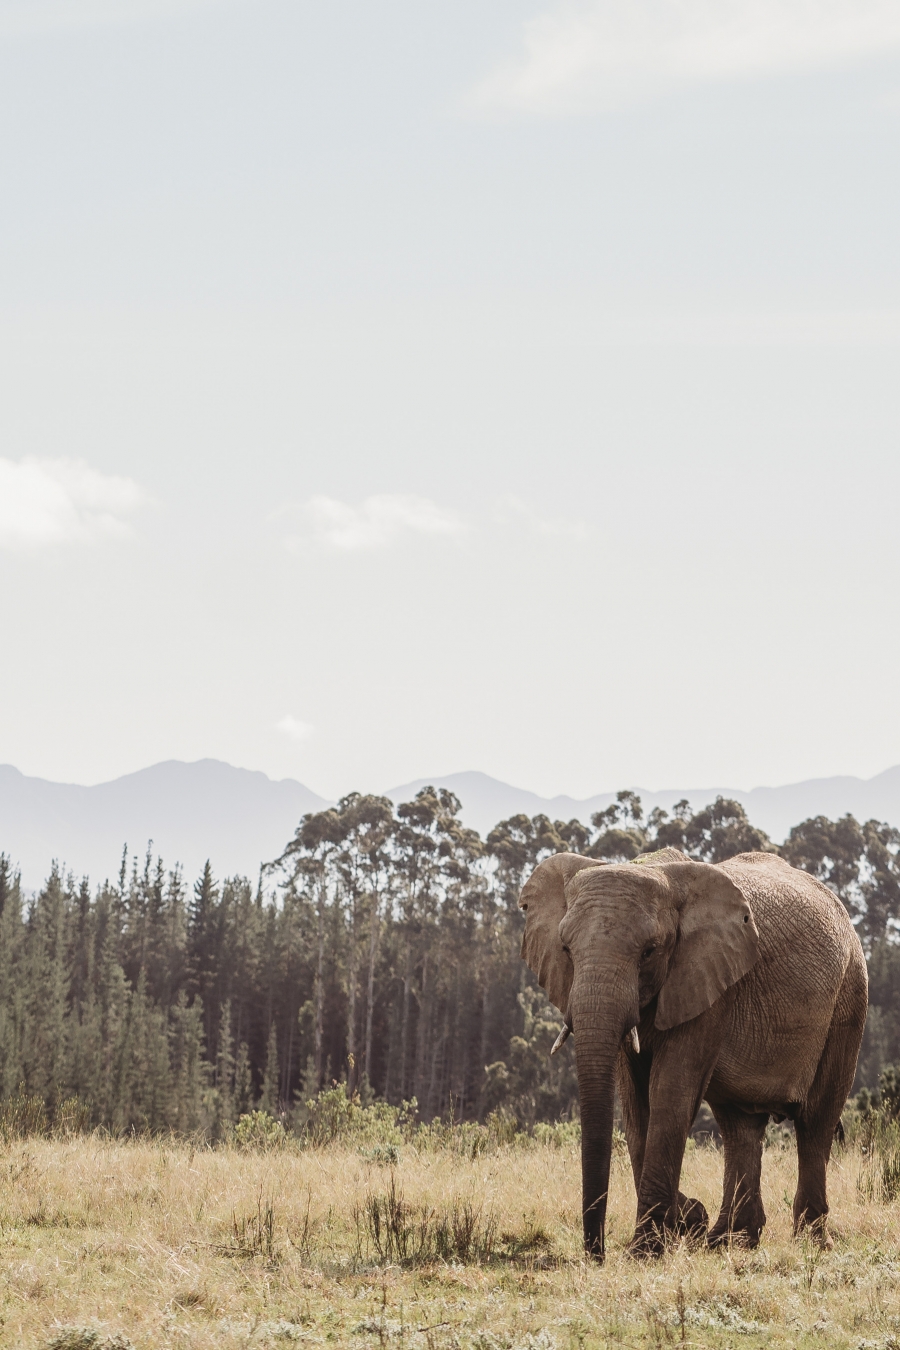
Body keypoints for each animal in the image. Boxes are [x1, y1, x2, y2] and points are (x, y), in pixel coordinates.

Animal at [520, 847, 863, 1258]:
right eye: (566, 950)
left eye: (649, 951)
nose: (596, 1255)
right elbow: (635, 1101)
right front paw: (685, 1222)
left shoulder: (709, 981)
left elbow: (671, 1090)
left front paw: (647, 1251)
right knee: (739, 1125)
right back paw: (729, 1241)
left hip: (848, 995)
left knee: (814, 1122)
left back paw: (809, 1244)